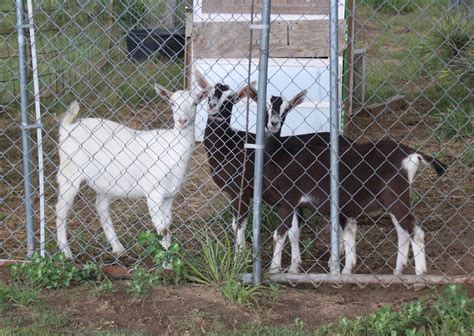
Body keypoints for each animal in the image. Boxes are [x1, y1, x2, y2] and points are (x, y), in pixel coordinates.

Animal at [55, 83, 209, 258]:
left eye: (195, 103)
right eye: (172, 103)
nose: (182, 121)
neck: (172, 149)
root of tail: (67, 128)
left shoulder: (170, 195)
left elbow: (167, 224)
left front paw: (168, 254)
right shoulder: (153, 193)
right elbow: (162, 228)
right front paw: (165, 259)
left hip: (103, 181)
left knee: (101, 207)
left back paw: (117, 247)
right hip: (69, 174)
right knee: (61, 209)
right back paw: (66, 252)